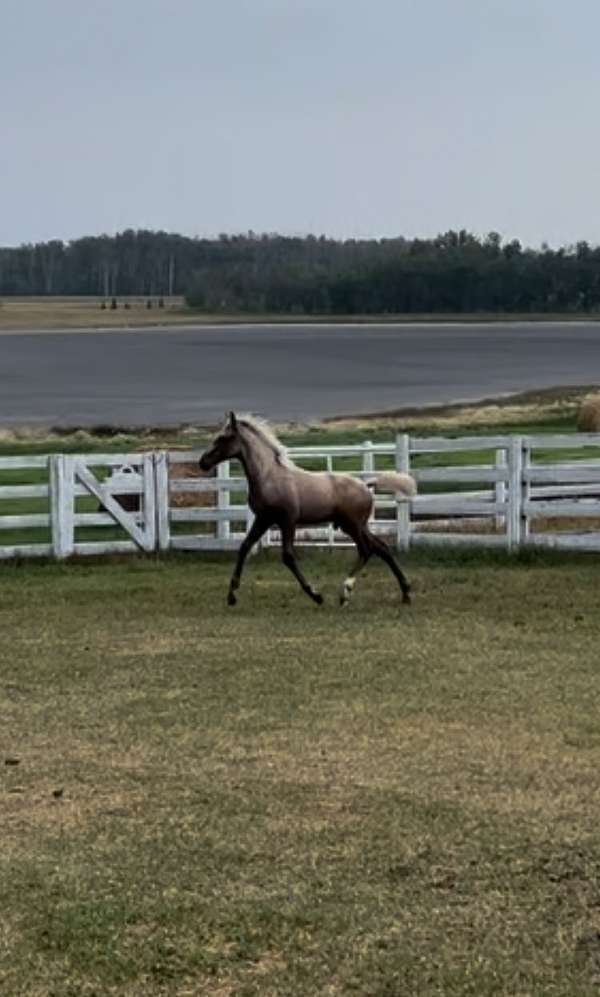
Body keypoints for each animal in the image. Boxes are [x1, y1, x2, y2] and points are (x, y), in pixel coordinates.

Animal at [198, 412, 418, 608]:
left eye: (223, 438)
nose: (203, 462)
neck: (269, 477)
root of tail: (366, 485)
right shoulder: (264, 519)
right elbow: (244, 547)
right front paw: (231, 596)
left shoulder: (287, 520)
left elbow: (287, 556)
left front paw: (316, 595)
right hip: (354, 525)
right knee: (381, 547)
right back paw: (405, 593)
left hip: (353, 525)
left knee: (366, 549)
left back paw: (345, 594)